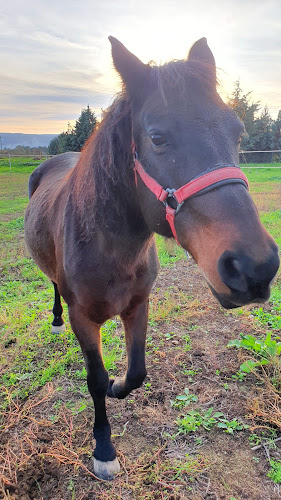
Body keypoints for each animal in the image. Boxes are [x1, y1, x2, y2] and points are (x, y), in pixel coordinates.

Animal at [24, 36, 278, 480]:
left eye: (239, 133)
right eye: (157, 137)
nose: (255, 268)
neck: (108, 250)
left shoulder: (138, 305)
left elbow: (136, 372)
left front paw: (118, 386)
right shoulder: (83, 319)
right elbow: (95, 379)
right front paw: (104, 448)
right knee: (53, 285)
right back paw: (53, 320)